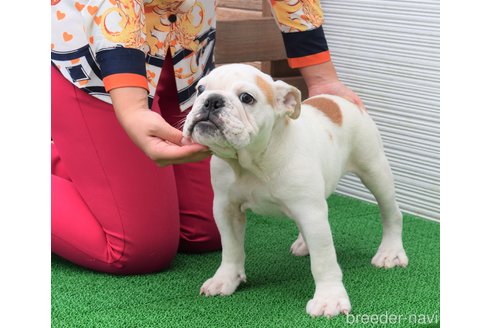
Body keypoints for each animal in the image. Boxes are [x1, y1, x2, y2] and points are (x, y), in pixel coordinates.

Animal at [181, 63, 408, 318]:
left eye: (247, 98)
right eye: (200, 89)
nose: (212, 101)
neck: (253, 160)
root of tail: (340, 100)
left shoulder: (311, 213)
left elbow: (324, 260)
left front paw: (329, 298)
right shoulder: (226, 208)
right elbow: (231, 248)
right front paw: (225, 279)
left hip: (375, 170)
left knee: (391, 213)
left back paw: (390, 252)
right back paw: (304, 244)